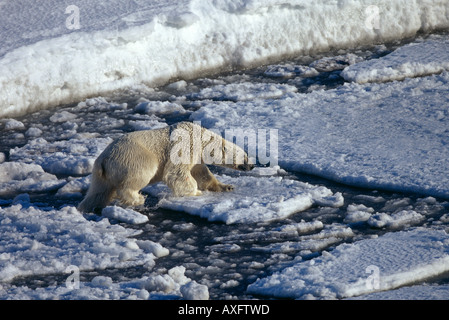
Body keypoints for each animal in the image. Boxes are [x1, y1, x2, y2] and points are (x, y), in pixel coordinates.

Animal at [78, 121, 254, 214]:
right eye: (245, 156)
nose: (252, 165)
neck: (200, 138)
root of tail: (104, 159)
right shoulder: (184, 147)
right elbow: (176, 173)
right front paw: (196, 192)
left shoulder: (196, 156)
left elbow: (202, 173)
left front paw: (227, 186)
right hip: (132, 158)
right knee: (138, 176)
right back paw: (138, 198)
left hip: (100, 173)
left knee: (98, 192)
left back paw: (86, 207)